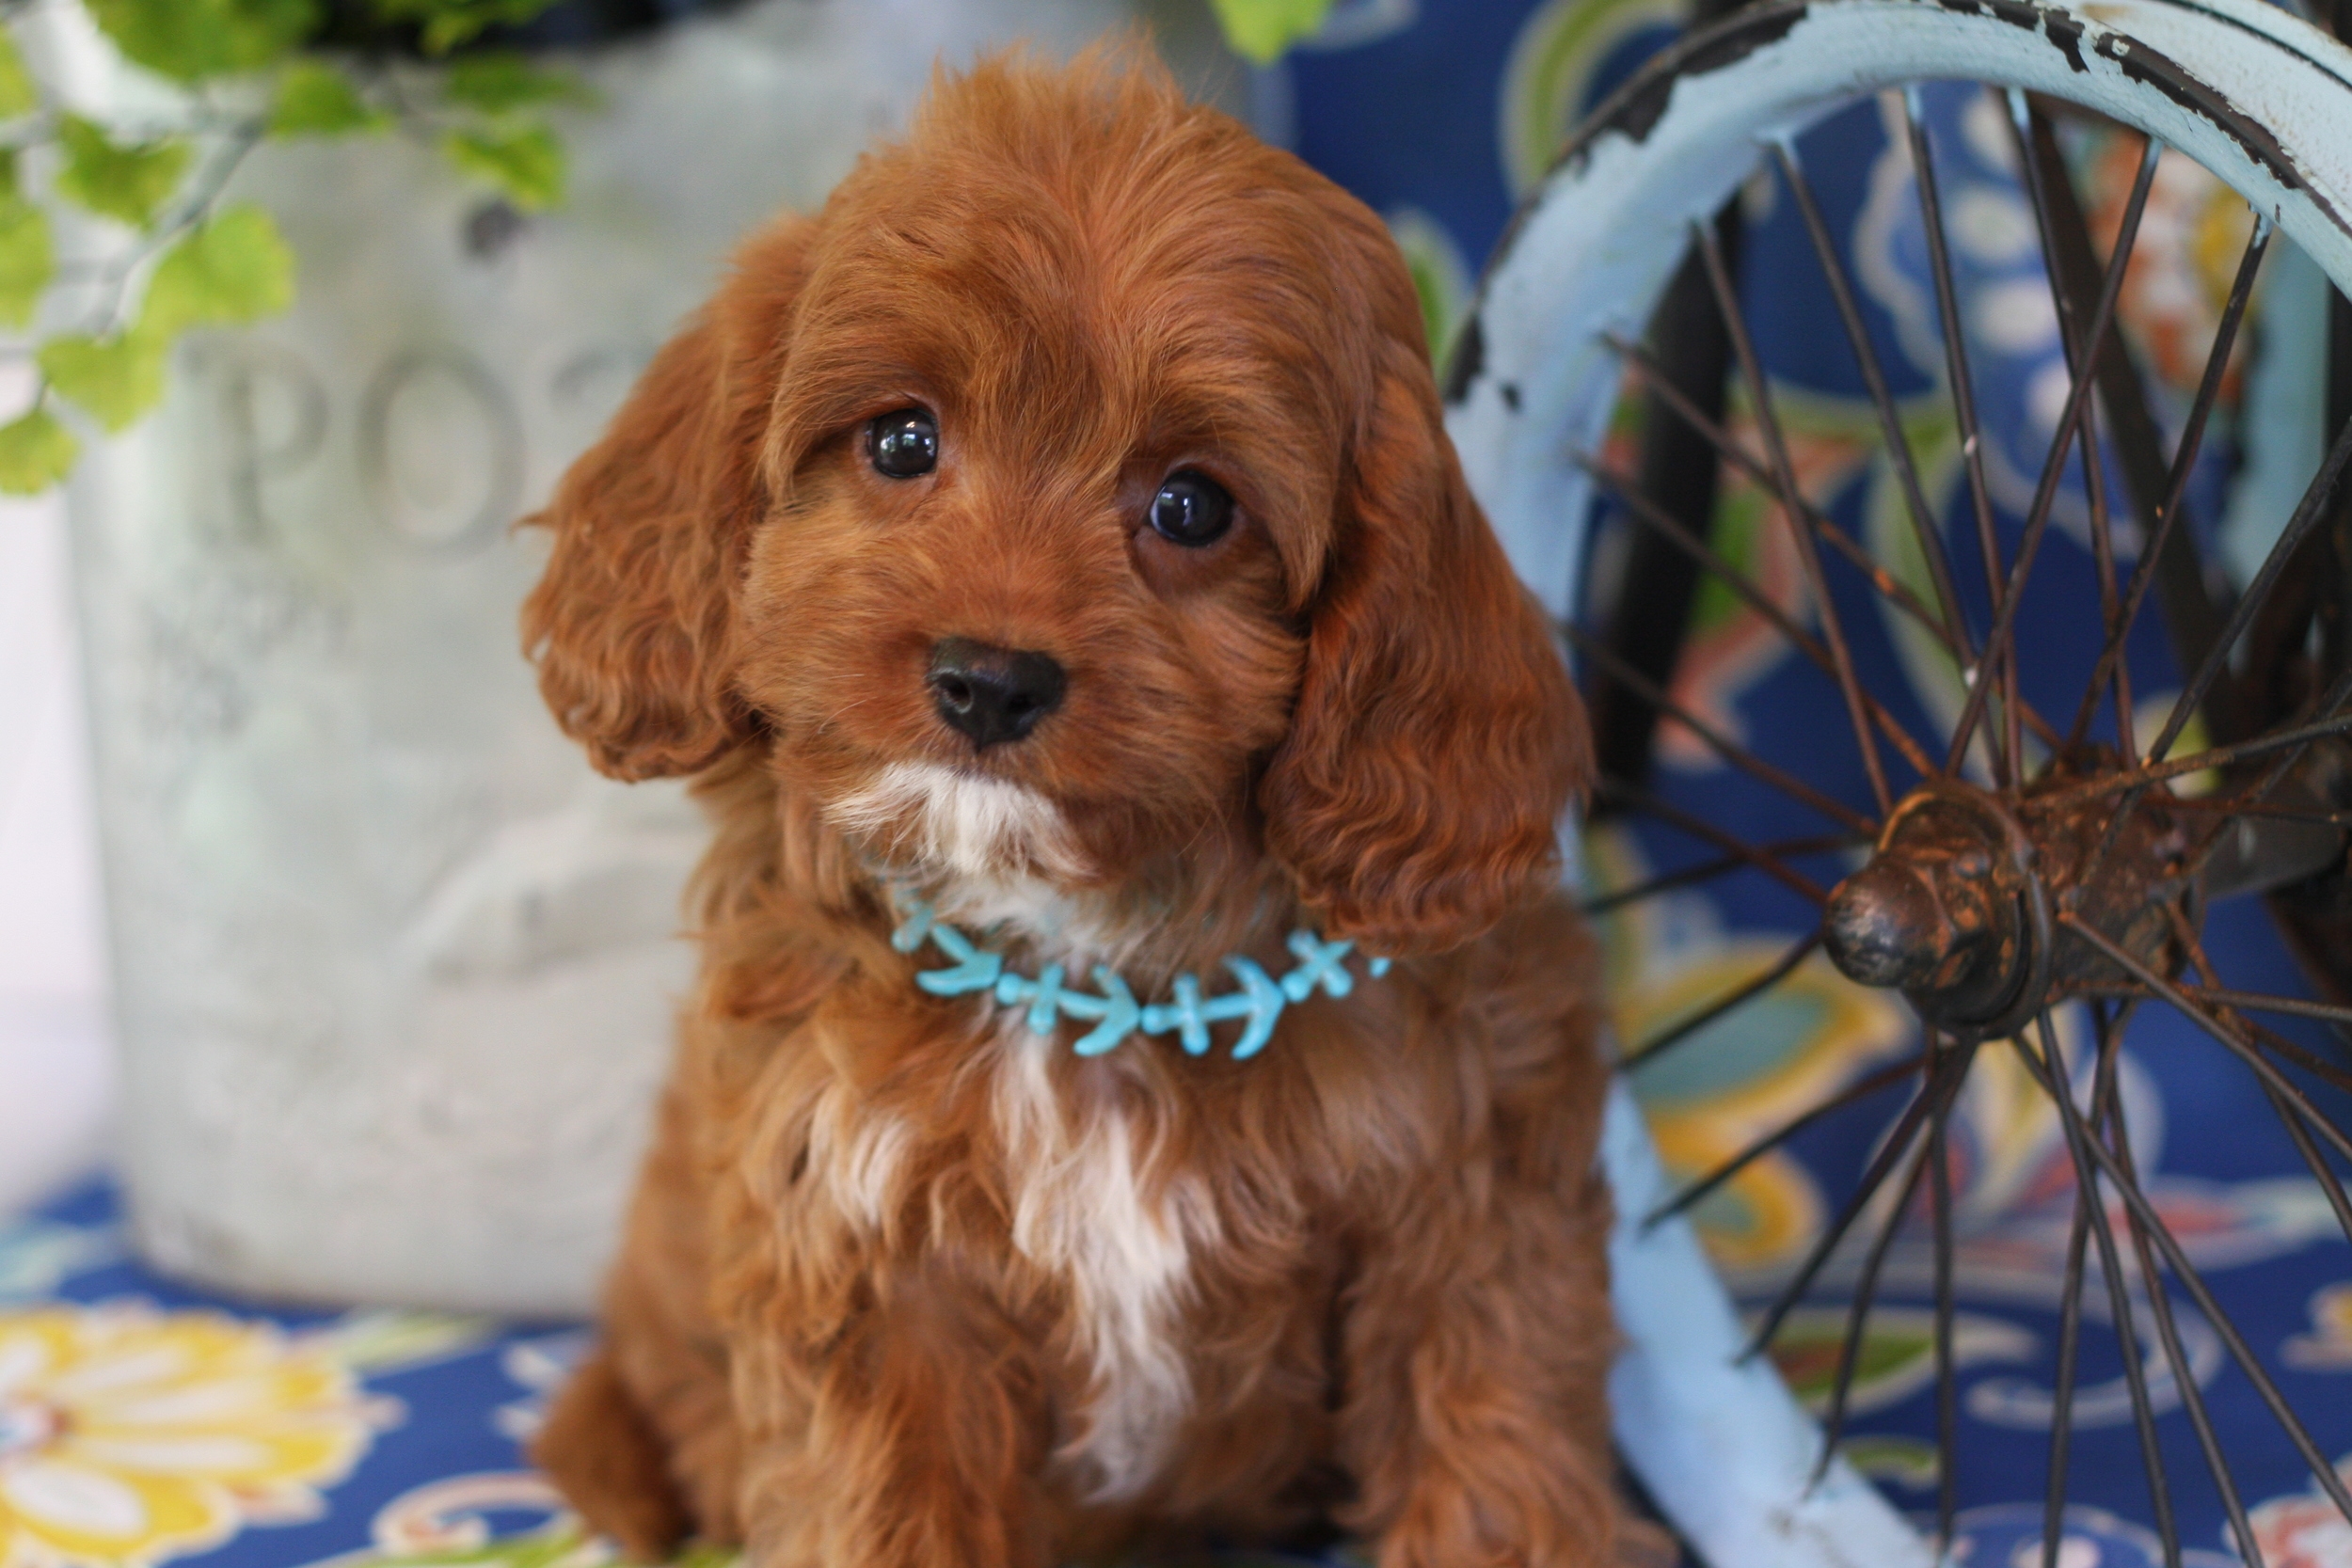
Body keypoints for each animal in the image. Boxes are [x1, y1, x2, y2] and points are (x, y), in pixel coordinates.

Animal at [522, 42, 1628, 1568]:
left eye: (1191, 506)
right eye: (902, 439)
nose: (988, 680)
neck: (1086, 973)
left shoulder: (1472, 1200)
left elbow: (1493, 1449)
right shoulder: (867, 1251)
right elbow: (884, 1506)